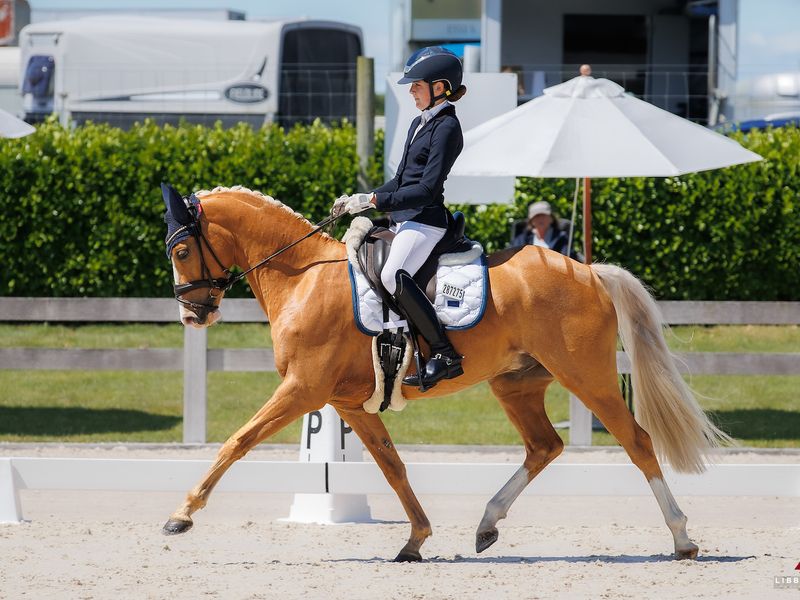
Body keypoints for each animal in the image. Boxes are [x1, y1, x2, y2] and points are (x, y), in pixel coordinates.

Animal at [161, 185, 731, 562]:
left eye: (182, 249)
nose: (192, 316)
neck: (303, 277)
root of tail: (588, 270)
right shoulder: (347, 403)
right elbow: (393, 467)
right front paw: (415, 539)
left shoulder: (302, 390)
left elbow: (236, 442)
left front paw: (182, 515)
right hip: (516, 383)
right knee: (544, 446)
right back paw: (486, 525)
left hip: (587, 378)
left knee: (636, 441)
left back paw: (682, 538)